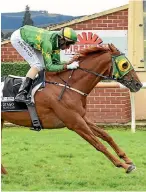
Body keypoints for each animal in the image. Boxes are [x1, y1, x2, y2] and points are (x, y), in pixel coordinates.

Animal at [1, 43, 143, 174]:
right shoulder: (74, 123)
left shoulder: (81, 116)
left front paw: (127, 159)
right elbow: (98, 144)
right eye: (124, 64)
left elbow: (105, 135)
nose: (138, 84)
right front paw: (124, 165)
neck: (69, 86)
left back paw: (4, 172)